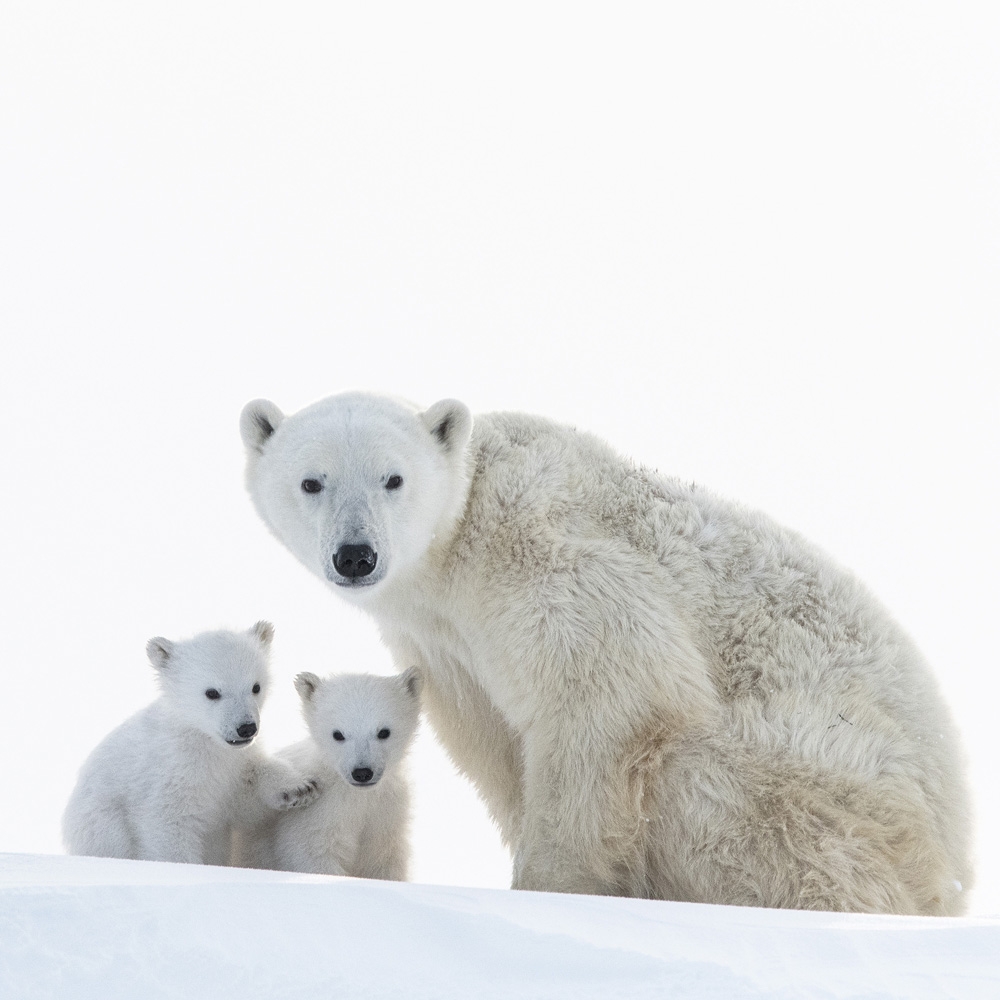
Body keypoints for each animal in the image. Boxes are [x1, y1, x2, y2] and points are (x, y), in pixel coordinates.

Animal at [63, 622, 320, 865]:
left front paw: (299, 788)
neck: (201, 739)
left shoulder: (230, 767)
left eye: (256, 686)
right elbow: (168, 824)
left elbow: (243, 793)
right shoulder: (170, 774)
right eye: (212, 692)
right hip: (102, 825)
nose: (246, 728)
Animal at [232, 668, 420, 879]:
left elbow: (384, 859)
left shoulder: (387, 812)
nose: (362, 773)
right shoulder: (317, 813)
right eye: (337, 734)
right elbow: (313, 852)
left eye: (384, 732)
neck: (357, 796)